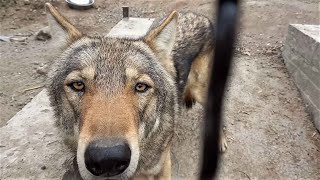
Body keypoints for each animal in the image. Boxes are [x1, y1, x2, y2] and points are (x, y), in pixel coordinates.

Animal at [45, 2, 228, 179]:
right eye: (78, 85)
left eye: (141, 87)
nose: (107, 159)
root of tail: (198, 16)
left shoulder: (163, 166)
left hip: (202, 90)